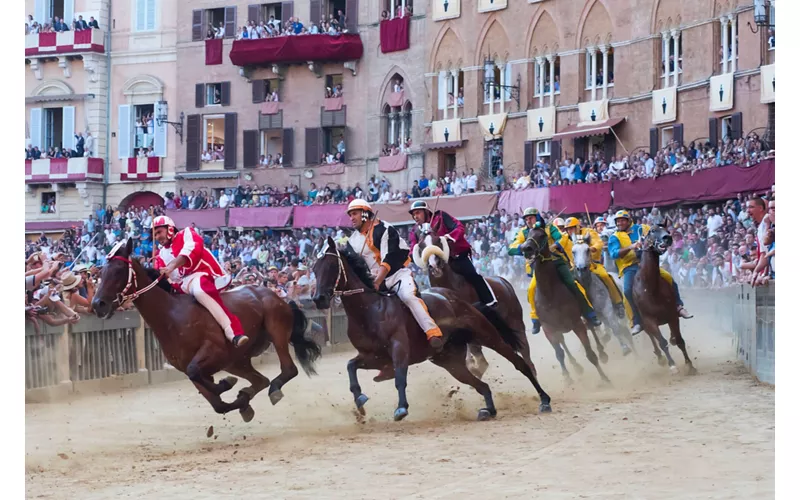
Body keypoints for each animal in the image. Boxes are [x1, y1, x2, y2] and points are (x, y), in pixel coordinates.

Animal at [90, 238, 322, 422]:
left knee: (288, 370)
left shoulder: (214, 352)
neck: (172, 316)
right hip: (236, 361)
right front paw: (239, 399)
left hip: (276, 330)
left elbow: (202, 376)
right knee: (261, 380)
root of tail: (276, 296)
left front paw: (227, 385)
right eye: (102, 271)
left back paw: (273, 388)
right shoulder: (190, 368)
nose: (98, 304)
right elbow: (217, 403)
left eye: (118, 271)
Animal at [412, 225, 536, 376]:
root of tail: (504, 281)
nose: (435, 265)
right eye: (421, 246)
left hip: (515, 320)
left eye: (438, 241)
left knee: (524, 348)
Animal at [520, 229, 612, 384]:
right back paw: (576, 366)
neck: (550, 294)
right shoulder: (549, 329)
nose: (527, 249)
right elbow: (559, 353)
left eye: (542, 235)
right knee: (563, 343)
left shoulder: (577, 323)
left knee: (591, 325)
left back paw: (602, 353)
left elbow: (590, 353)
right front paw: (567, 377)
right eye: (527, 235)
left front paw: (605, 378)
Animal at [636, 227, 696, 376]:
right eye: (652, 231)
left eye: (666, 230)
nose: (667, 238)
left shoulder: (672, 315)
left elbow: (679, 340)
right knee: (652, 337)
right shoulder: (649, 320)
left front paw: (690, 365)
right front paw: (673, 365)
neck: (651, 289)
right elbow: (662, 342)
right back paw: (660, 357)